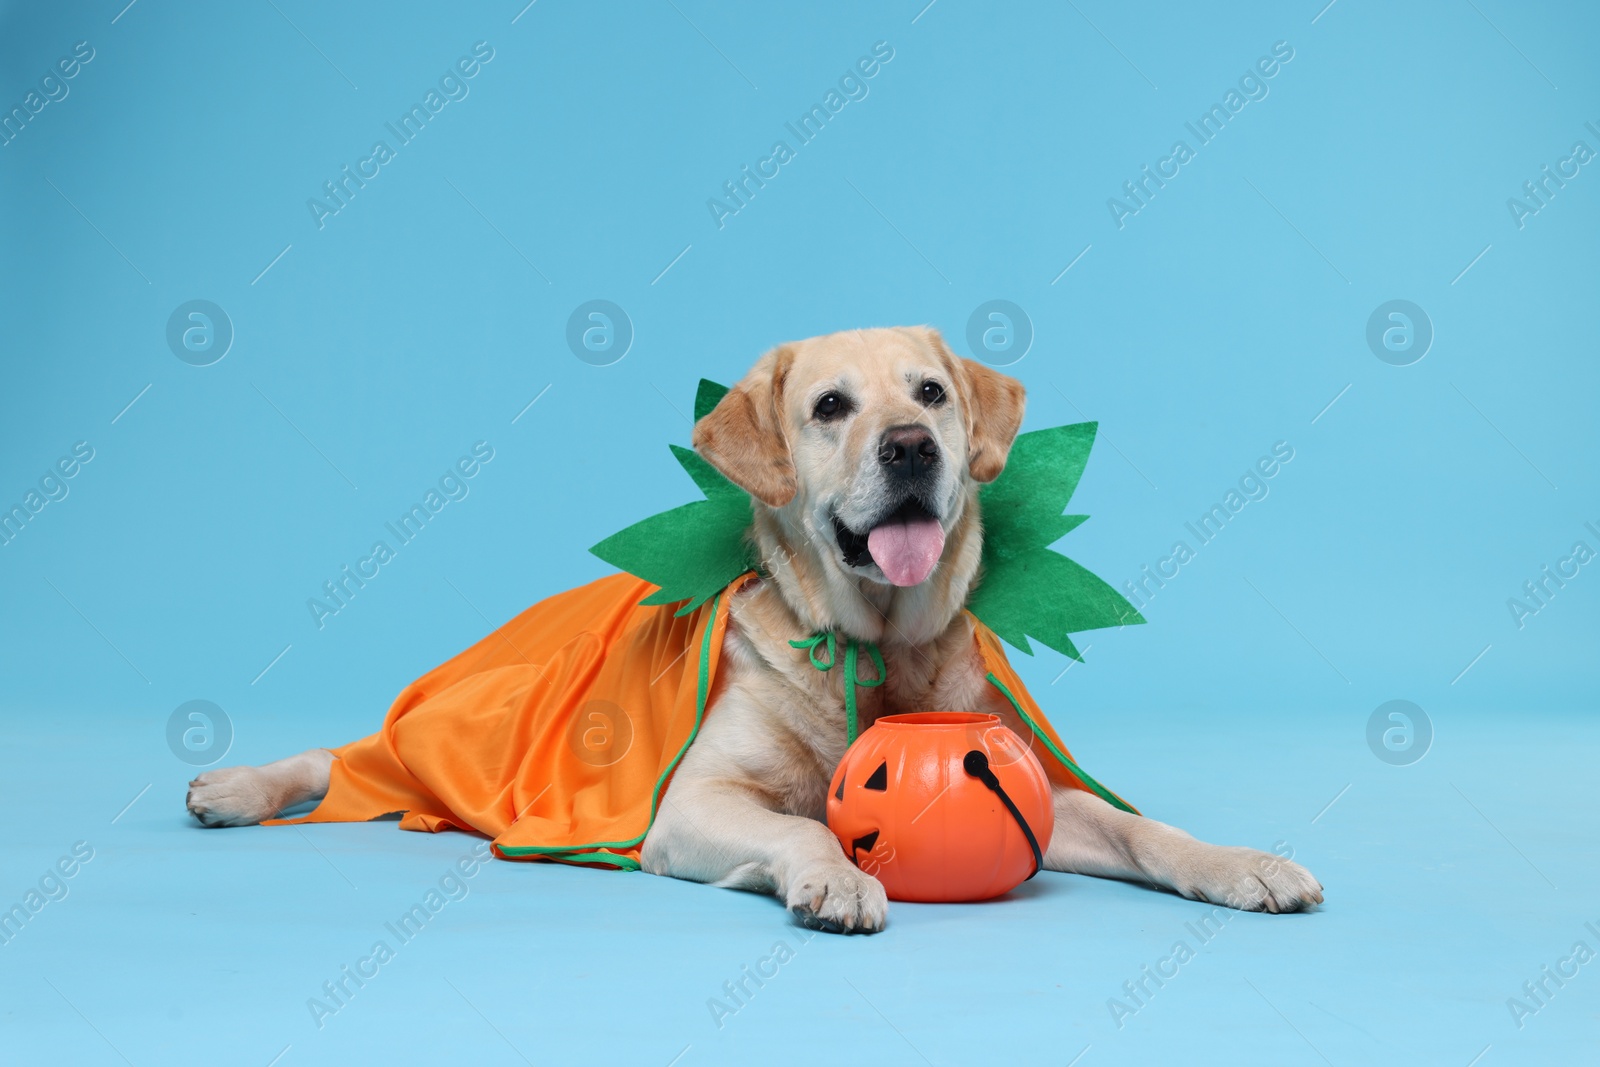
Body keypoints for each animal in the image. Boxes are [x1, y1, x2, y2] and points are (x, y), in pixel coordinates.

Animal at [187, 327, 1318, 934]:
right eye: (828, 407)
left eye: (932, 393)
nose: (911, 447)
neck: (876, 648)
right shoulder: (691, 804)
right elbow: (802, 823)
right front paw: (836, 874)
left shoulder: (1041, 790)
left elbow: (1142, 827)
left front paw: (1242, 863)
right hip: (450, 726)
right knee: (342, 758)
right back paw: (234, 787)